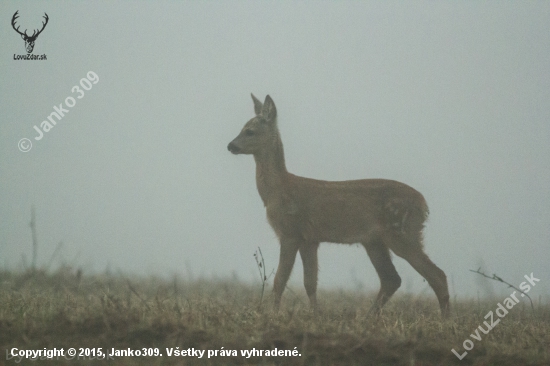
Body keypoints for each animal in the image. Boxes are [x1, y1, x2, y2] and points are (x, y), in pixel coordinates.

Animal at [226, 94, 450, 318]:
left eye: (250, 131)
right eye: (242, 127)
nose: (230, 146)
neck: (277, 191)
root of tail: (424, 204)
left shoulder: (290, 231)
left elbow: (280, 279)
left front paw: (272, 315)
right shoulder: (310, 239)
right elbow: (310, 282)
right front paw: (315, 315)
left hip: (402, 231)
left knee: (436, 274)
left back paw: (444, 319)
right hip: (375, 241)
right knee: (391, 279)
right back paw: (368, 318)